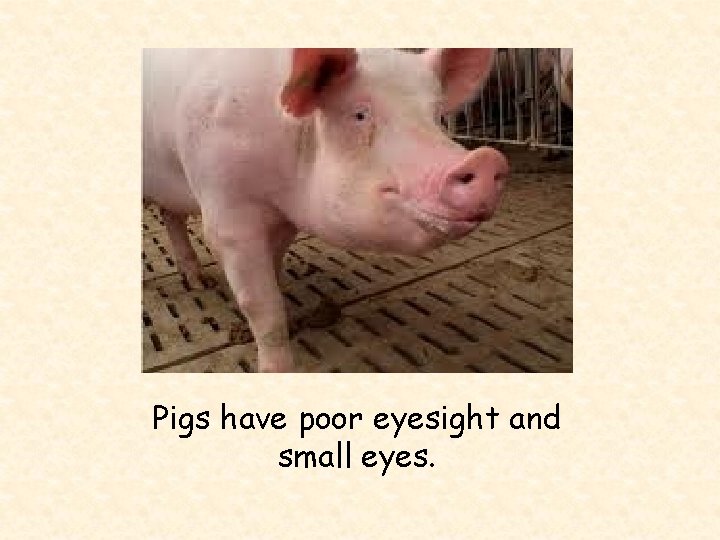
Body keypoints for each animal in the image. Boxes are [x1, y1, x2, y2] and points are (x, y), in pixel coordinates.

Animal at [143, 48, 509, 372]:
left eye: (436, 115)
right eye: (359, 114)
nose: (486, 159)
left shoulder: (284, 219)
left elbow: (274, 272)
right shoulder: (227, 212)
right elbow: (263, 307)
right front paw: (274, 368)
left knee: (171, 216)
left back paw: (198, 284)